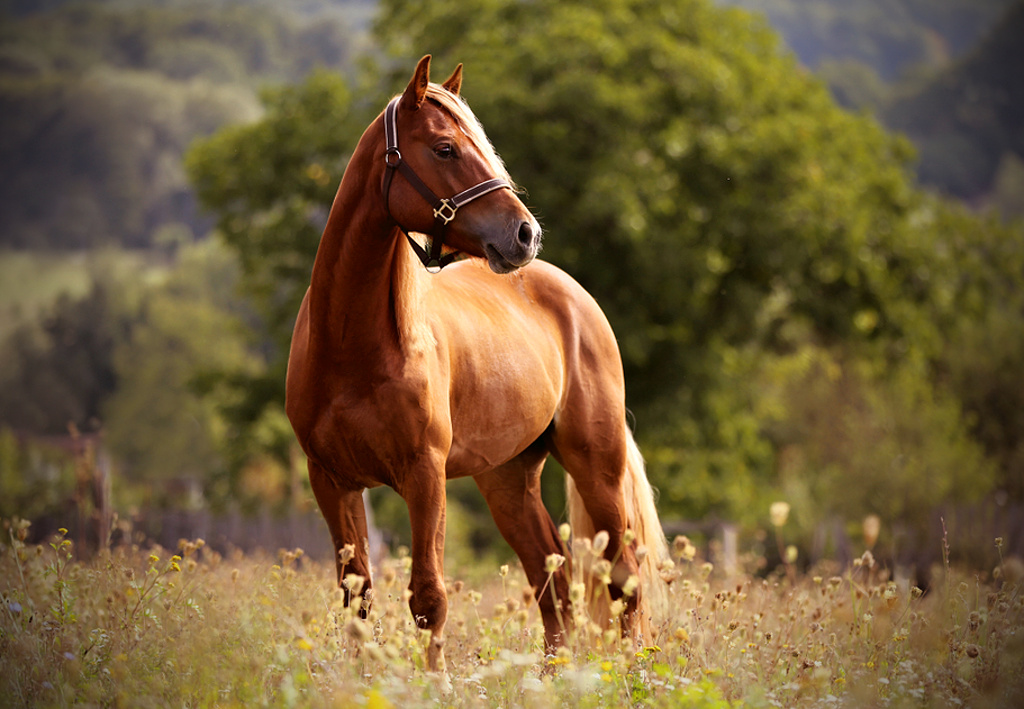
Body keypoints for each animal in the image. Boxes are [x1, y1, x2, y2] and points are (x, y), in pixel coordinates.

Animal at [284, 56, 667, 672]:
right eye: (444, 149)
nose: (525, 233)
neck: (351, 348)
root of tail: (573, 294)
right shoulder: (332, 481)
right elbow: (357, 598)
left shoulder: (424, 474)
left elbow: (428, 597)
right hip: (507, 479)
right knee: (553, 581)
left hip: (597, 466)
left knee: (622, 578)